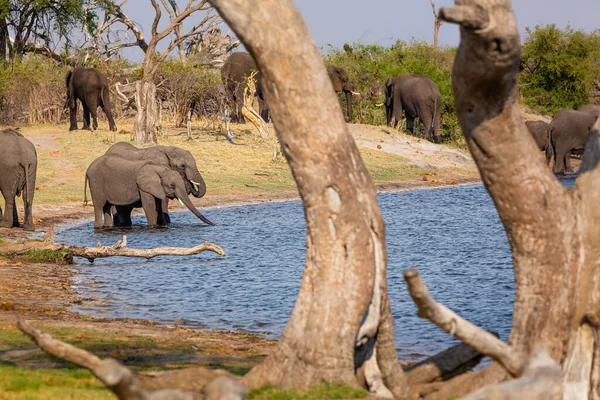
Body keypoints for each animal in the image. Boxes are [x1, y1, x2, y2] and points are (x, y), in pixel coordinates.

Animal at [83, 157, 214, 231]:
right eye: (172, 185)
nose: (213, 224)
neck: (159, 169)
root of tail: (88, 169)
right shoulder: (143, 186)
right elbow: (149, 206)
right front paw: (152, 227)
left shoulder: (157, 187)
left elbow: (158, 206)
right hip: (96, 183)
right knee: (99, 206)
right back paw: (98, 228)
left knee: (107, 207)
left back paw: (108, 228)